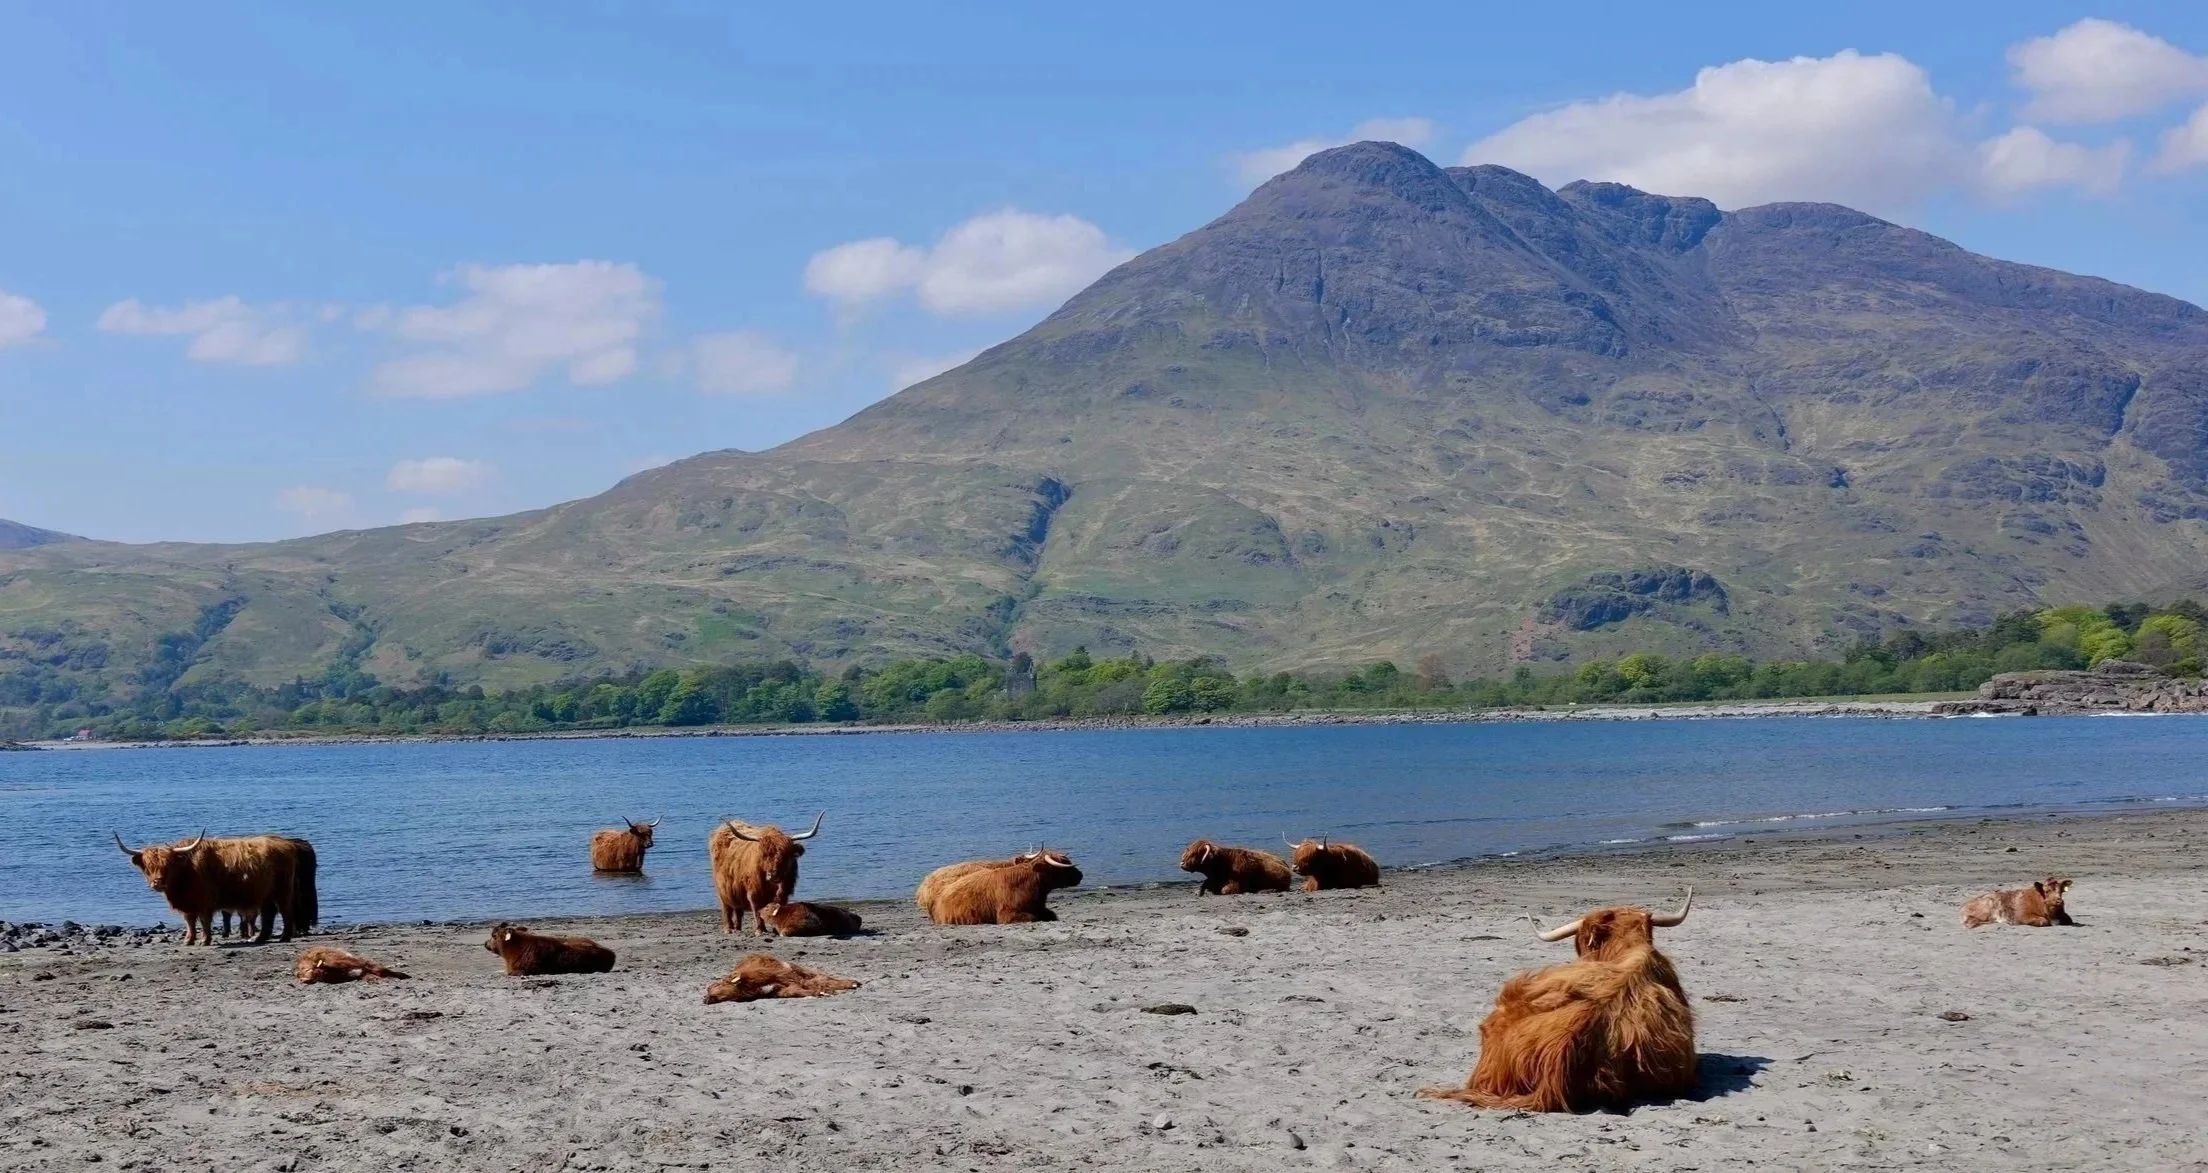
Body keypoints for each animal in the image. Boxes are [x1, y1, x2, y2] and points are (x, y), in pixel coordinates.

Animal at [115, 831, 319, 945]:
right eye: (148, 866)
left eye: (168, 865)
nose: (157, 882)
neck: (185, 872)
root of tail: (286, 843)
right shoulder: (188, 904)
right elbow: (190, 921)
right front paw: (188, 940)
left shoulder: (205, 901)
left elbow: (204, 921)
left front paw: (205, 940)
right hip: (265, 893)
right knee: (269, 914)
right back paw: (260, 938)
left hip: (283, 891)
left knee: (285, 911)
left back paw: (284, 937)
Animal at [703, 953, 860, 1004]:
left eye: (716, 985)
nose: (705, 999)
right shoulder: (778, 989)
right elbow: (794, 991)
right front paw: (820, 992)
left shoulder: (787, 976)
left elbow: (815, 982)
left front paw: (824, 991)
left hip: (800, 969)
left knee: (821, 976)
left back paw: (853, 982)